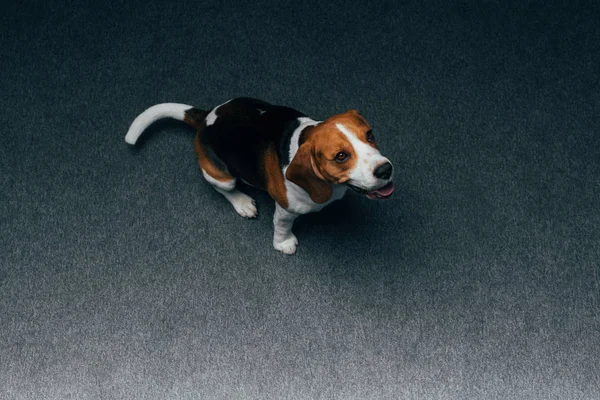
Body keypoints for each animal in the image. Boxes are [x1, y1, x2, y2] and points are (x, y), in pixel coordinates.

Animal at [125, 97, 394, 253]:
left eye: (369, 135)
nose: (386, 169)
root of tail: (207, 117)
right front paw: (284, 243)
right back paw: (242, 202)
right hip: (221, 175)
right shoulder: (285, 208)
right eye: (340, 156)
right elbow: (281, 226)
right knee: (221, 187)